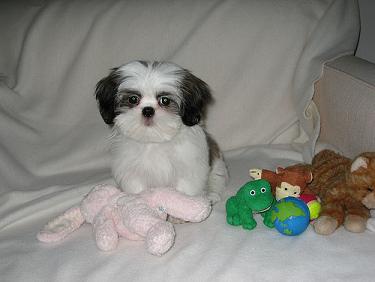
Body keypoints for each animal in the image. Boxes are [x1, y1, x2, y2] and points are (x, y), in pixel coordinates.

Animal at [95, 60, 228, 204]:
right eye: (133, 99)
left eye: (165, 100)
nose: (148, 110)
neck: (153, 141)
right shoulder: (131, 172)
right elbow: (136, 188)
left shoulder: (190, 168)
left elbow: (186, 189)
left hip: (218, 165)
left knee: (217, 179)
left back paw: (212, 196)